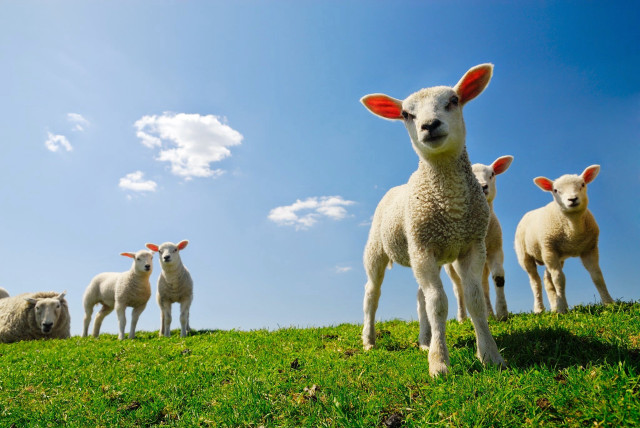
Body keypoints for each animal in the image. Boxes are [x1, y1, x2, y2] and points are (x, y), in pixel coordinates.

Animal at [360, 63, 505, 376]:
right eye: (406, 114)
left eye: (453, 101)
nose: (429, 125)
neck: (451, 205)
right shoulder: (424, 248)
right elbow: (438, 303)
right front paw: (439, 363)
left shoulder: (471, 245)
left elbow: (474, 299)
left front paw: (490, 355)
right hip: (380, 249)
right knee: (372, 294)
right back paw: (369, 340)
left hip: (425, 252)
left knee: (420, 297)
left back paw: (424, 340)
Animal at [444, 155, 513, 322]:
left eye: (492, 174)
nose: (483, 187)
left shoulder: (496, 249)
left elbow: (498, 278)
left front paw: (502, 313)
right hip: (450, 266)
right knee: (458, 288)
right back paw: (462, 318)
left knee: (483, 284)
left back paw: (489, 313)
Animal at [515, 165, 614, 314]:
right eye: (555, 190)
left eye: (582, 184)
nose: (572, 199)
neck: (573, 232)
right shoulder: (549, 249)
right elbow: (559, 279)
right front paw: (562, 309)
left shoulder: (590, 249)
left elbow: (597, 275)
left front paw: (609, 303)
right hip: (526, 255)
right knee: (535, 281)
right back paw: (539, 309)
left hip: (553, 255)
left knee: (547, 279)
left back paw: (553, 307)